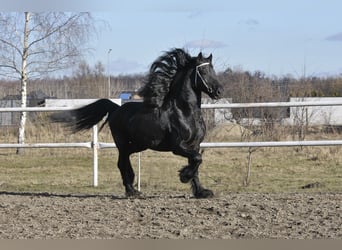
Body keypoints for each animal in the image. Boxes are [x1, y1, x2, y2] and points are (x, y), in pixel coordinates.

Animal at [59, 48, 223, 197]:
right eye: (203, 71)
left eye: (213, 69)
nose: (219, 91)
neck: (185, 112)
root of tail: (116, 109)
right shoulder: (178, 146)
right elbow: (197, 159)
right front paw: (184, 176)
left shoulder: (195, 145)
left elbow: (196, 164)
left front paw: (201, 192)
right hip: (122, 143)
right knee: (121, 162)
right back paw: (131, 191)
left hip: (139, 144)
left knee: (126, 159)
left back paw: (132, 187)